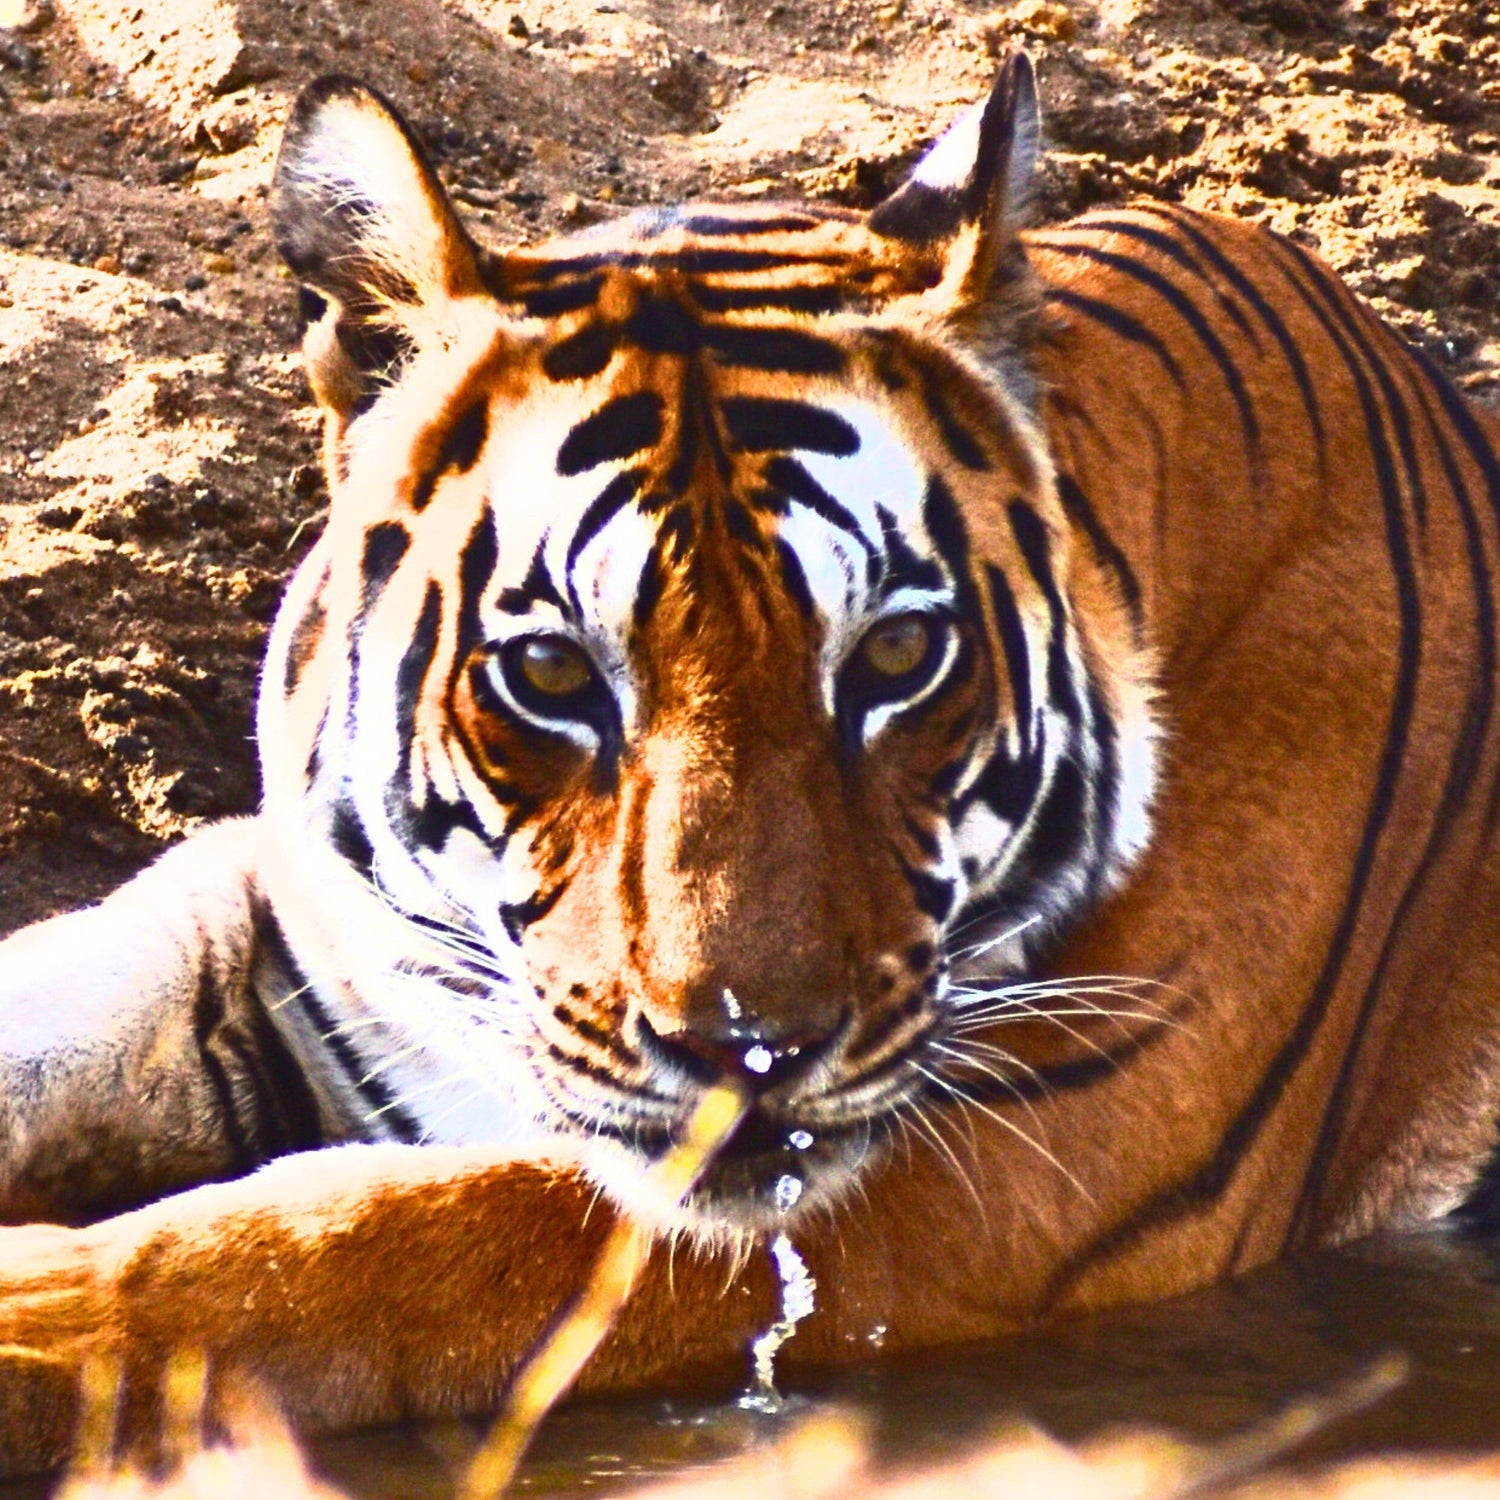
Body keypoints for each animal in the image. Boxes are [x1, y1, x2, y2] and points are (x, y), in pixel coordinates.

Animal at [1, 50, 1499, 1474]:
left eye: (897, 656)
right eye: (552, 675)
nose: (752, 1053)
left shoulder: (1002, 1165)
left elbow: (376, 1242)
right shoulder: (300, 926)